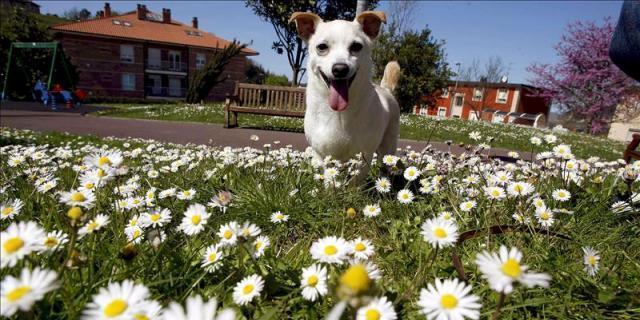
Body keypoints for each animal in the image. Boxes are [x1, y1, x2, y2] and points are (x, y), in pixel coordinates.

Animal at [290, 10, 400, 170]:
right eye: (322, 47)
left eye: (356, 46)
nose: (340, 69)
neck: (338, 113)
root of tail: (386, 89)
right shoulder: (321, 155)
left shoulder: (364, 157)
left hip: (387, 149)